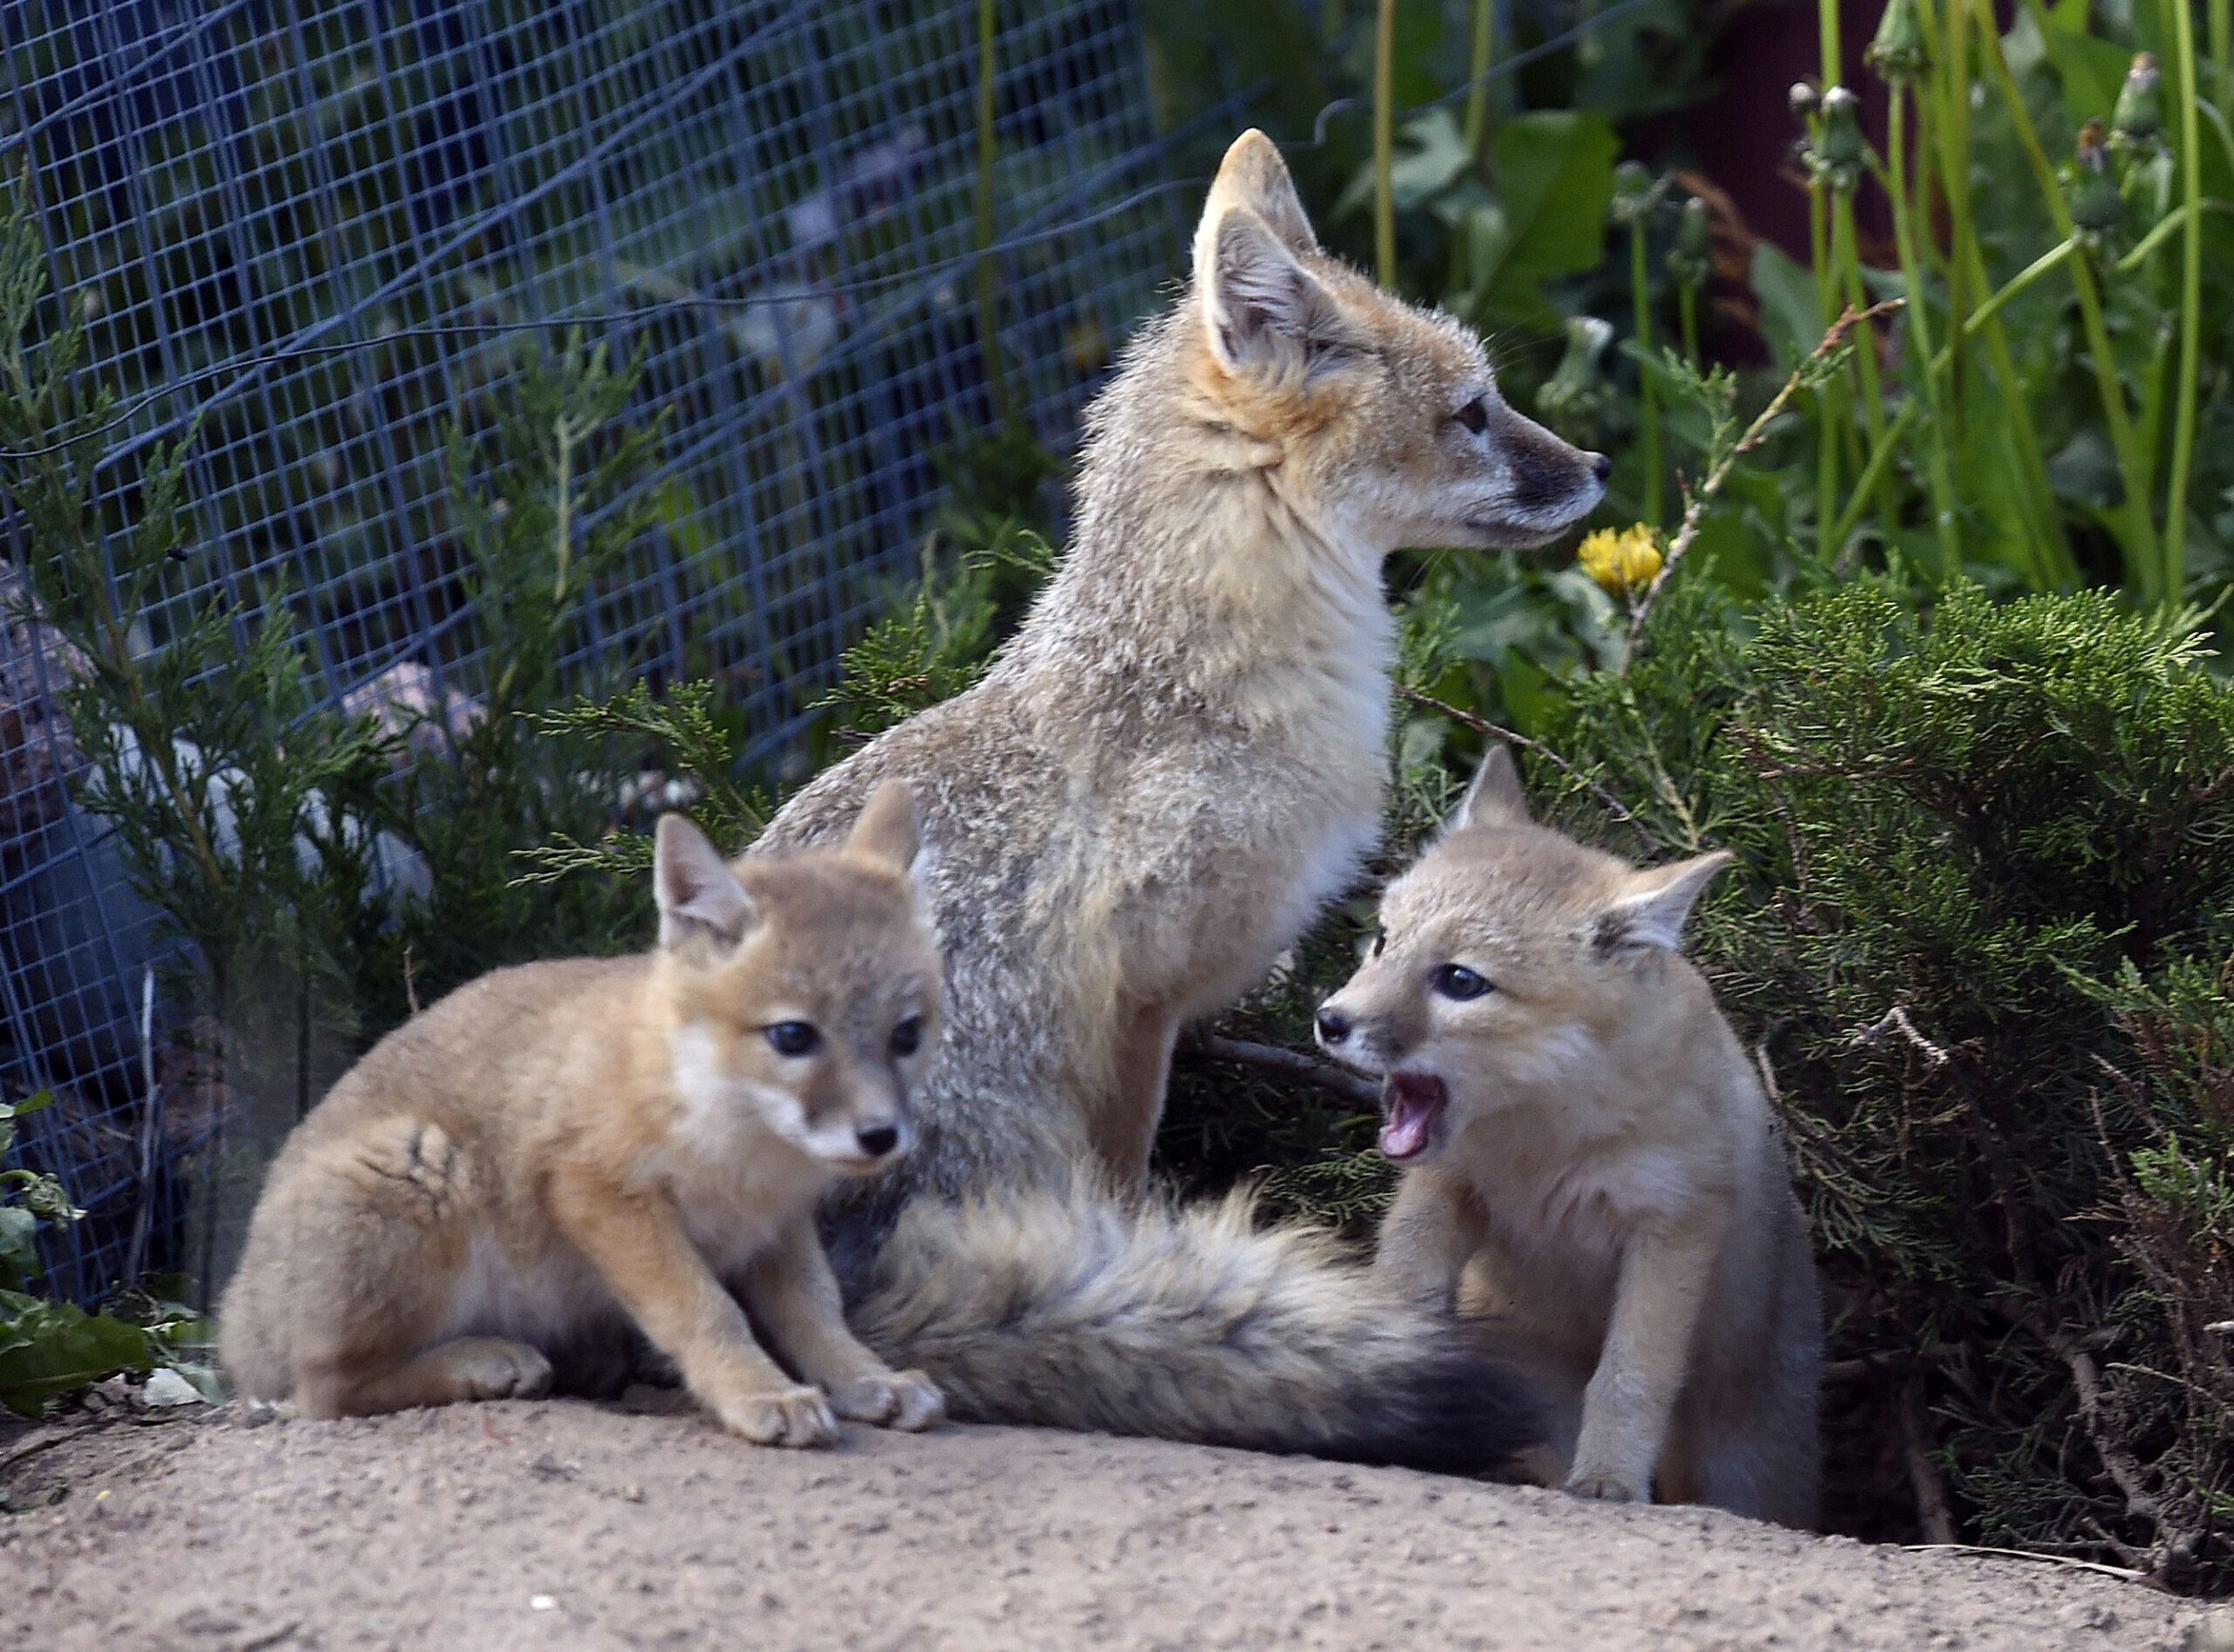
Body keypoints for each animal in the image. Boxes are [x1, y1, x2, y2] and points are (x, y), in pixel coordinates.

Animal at [219, 781, 948, 1447]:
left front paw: (866, 1377)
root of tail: (235, 1317)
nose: (880, 1136)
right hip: (423, 1174)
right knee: (322, 1393)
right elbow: (706, 1310)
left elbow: (819, 1313)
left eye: (907, 1034)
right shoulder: (601, 1191)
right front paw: (757, 1390)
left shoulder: (775, 1227)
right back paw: (481, 1360)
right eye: (793, 1036)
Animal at [1313, 747, 1823, 1524]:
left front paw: (1609, 1476)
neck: (1543, 1148)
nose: (1329, 1020)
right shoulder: (1447, 1187)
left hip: (1748, 1463)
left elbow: (1628, 1376)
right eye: (1381, 941)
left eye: (1460, 981)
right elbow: (1401, 1298)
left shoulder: (1672, 1228)